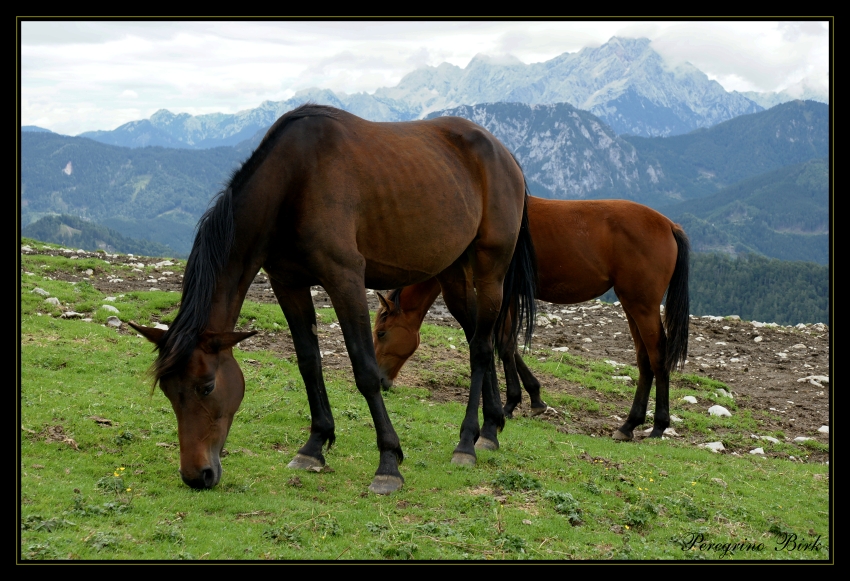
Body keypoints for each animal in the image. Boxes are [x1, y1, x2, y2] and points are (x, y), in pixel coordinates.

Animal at [129, 105, 532, 494]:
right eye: (168, 390)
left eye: (207, 386)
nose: (197, 475)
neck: (294, 181)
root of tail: (505, 154)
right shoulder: (288, 283)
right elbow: (309, 362)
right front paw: (314, 446)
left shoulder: (345, 279)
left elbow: (366, 371)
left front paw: (388, 463)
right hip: (453, 274)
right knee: (478, 338)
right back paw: (490, 428)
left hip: (490, 270)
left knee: (482, 348)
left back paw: (467, 442)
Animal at [372, 197, 688, 442]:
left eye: (381, 333)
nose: (382, 380)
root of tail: (669, 225)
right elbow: (506, 345)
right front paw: (533, 398)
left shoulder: (504, 293)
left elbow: (504, 343)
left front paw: (510, 403)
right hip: (632, 304)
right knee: (644, 360)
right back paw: (630, 424)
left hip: (643, 306)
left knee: (657, 356)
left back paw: (658, 425)